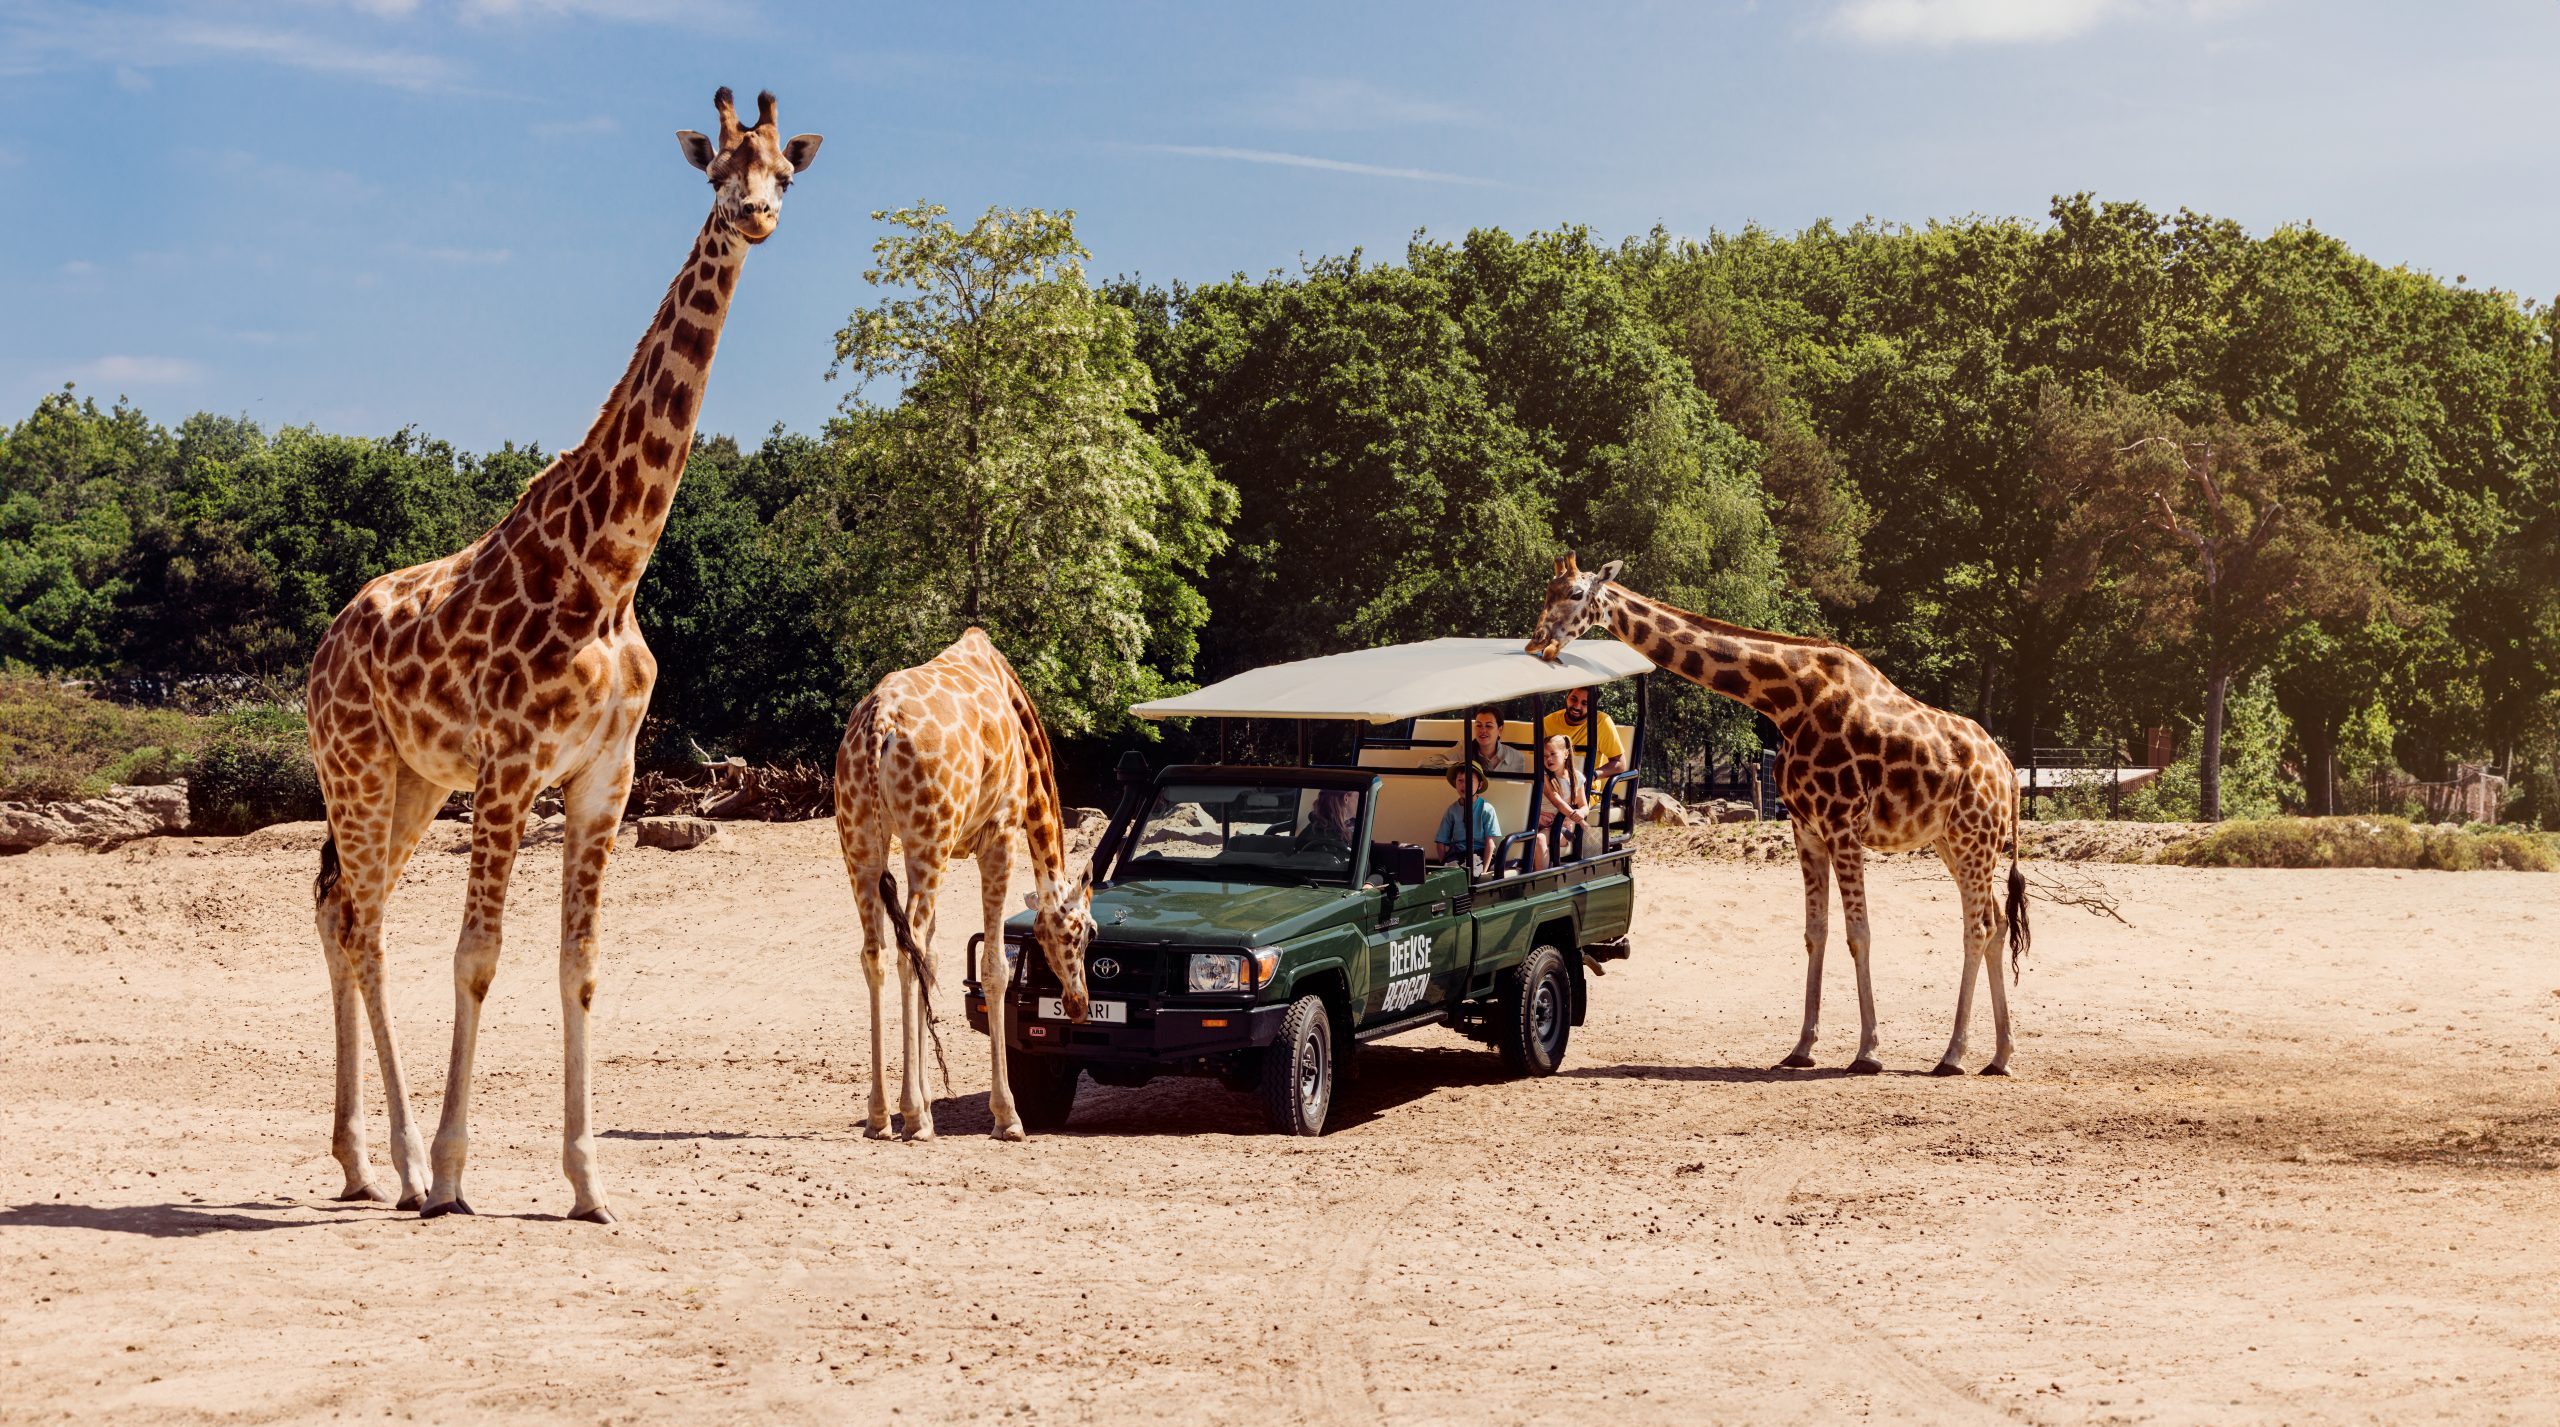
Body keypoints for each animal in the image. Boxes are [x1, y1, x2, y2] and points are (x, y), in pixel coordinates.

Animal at [307, 91, 829, 1224]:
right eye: (717, 169)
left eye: (786, 173)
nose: (757, 215)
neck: (611, 568)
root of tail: (321, 650)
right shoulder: (510, 767)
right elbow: (477, 956)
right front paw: (453, 1172)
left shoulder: (605, 775)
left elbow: (578, 965)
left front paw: (590, 1182)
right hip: (356, 765)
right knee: (364, 923)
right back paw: (401, 1163)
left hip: (413, 781)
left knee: (338, 908)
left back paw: (363, 1163)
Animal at [829, 627, 1090, 1142]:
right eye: (1087, 933)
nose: (1079, 1004)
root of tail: (878, 723)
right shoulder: (1000, 833)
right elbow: (994, 969)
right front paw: (1007, 1117)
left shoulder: (942, 849)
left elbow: (929, 955)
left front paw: (930, 1101)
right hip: (927, 838)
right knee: (906, 947)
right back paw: (910, 1117)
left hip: (861, 842)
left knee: (878, 951)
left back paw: (880, 1117)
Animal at [1525, 550, 2027, 1076]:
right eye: (1546, 591)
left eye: (1575, 593)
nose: (1538, 641)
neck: (1787, 700)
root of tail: (2009, 772)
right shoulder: (1806, 828)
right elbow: (1815, 932)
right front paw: (1802, 1047)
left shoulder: (1843, 825)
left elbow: (1859, 934)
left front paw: (1868, 1051)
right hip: (1953, 841)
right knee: (1995, 924)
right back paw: (2000, 1056)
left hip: (1973, 838)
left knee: (1978, 928)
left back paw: (1953, 1055)